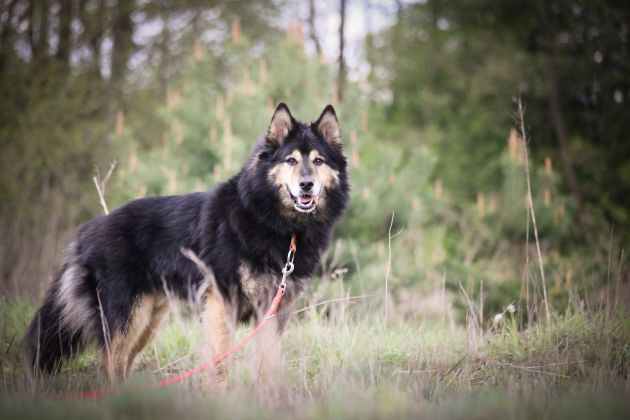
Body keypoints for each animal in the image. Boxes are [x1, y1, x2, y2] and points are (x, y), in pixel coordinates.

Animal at [24, 103, 350, 382]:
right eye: (291, 160)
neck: (280, 224)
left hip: (147, 321)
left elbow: (265, 365)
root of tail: (85, 231)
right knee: (111, 362)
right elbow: (219, 362)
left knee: (123, 361)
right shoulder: (222, 302)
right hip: (126, 316)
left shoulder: (273, 313)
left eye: (318, 161)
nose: (306, 185)